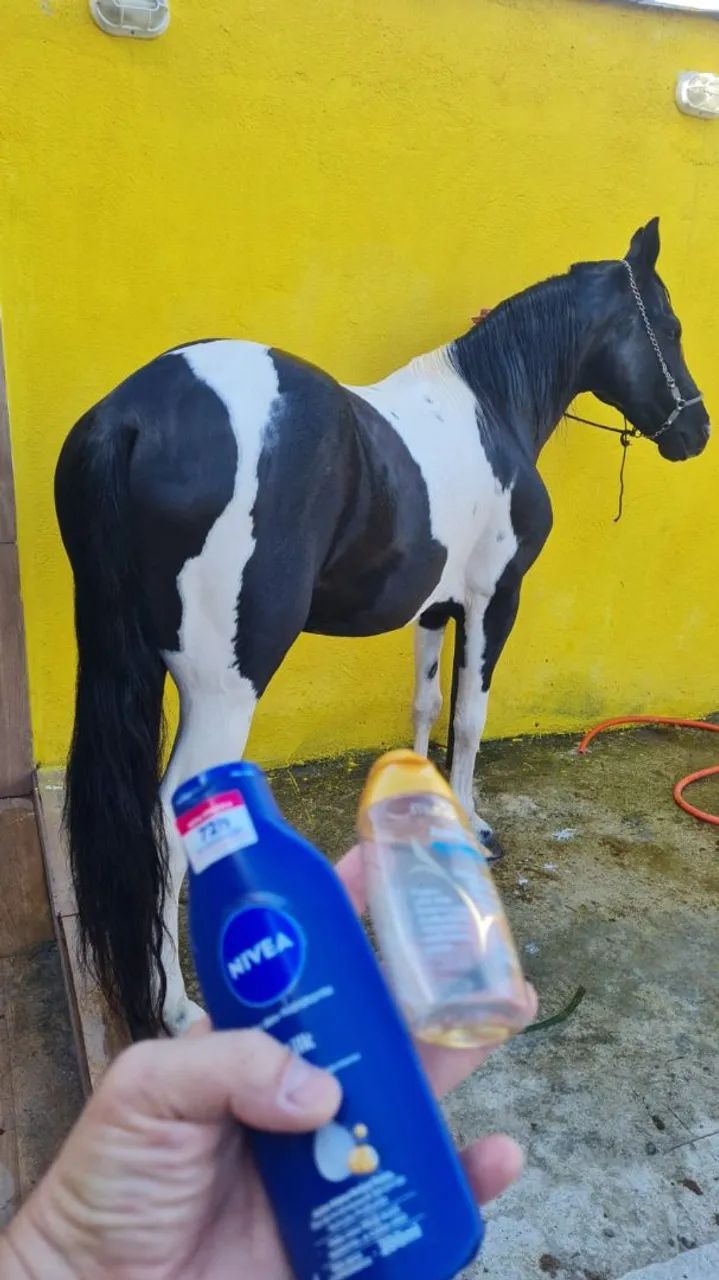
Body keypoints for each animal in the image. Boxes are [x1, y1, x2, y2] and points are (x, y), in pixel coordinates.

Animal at [55, 217, 709, 1038]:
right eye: (670, 324)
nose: (696, 429)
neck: (490, 409)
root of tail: (135, 415)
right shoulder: (495, 600)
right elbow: (468, 718)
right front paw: (470, 824)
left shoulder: (433, 608)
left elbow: (424, 705)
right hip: (223, 690)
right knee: (172, 823)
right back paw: (177, 1005)